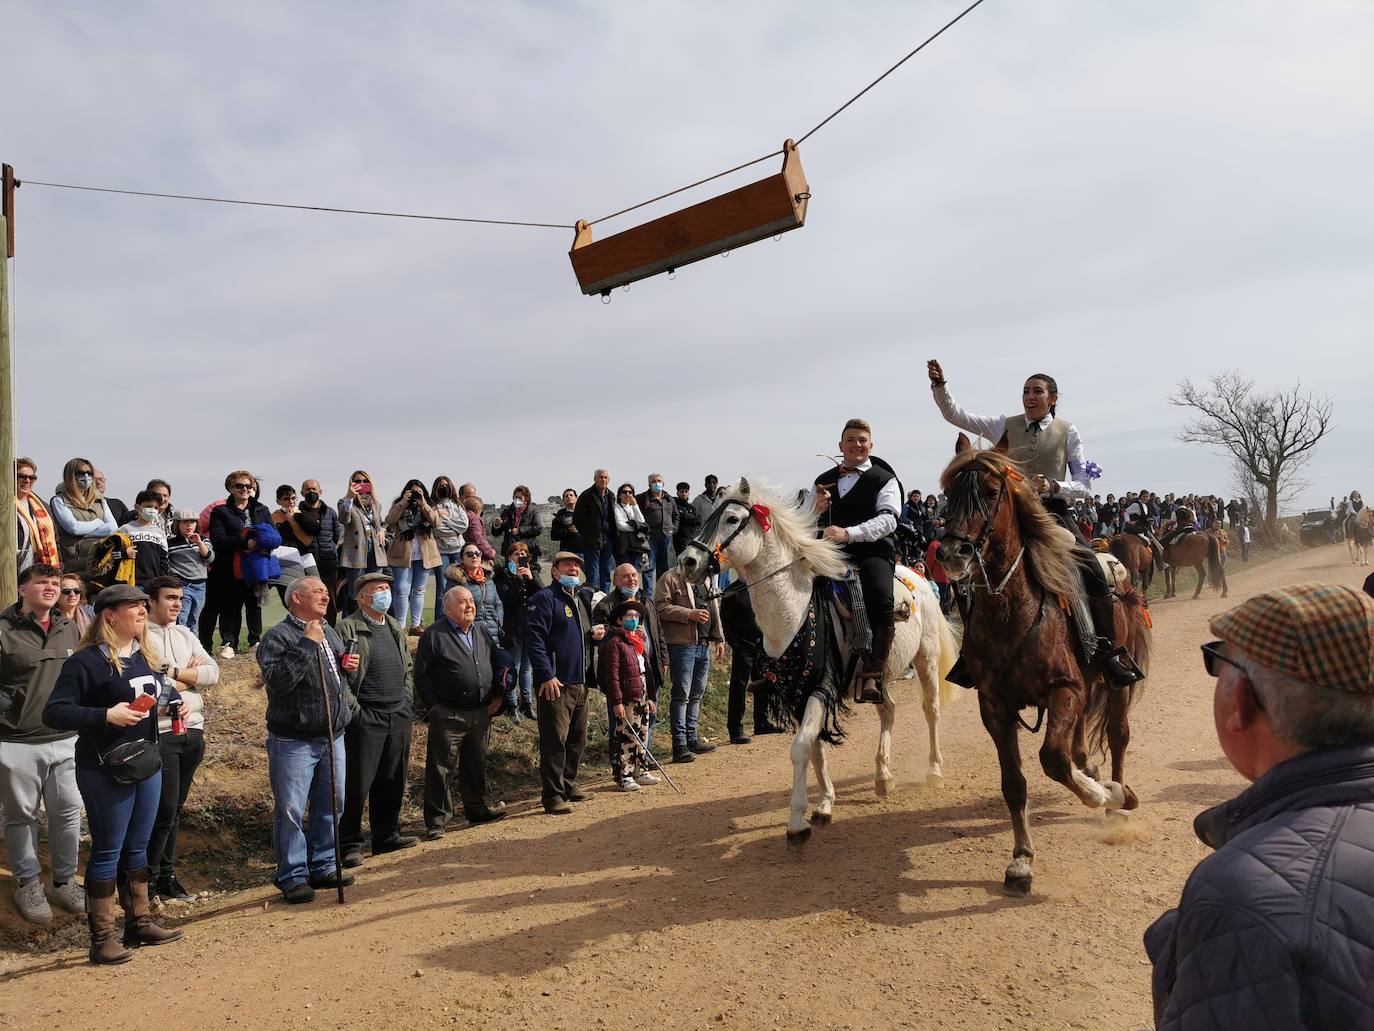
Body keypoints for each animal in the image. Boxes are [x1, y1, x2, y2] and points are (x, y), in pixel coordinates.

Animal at [676, 481, 956, 841]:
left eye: (732, 519)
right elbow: (816, 747)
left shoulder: (821, 685)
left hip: (926, 659)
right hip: (876, 676)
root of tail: (918, 579)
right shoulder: (797, 690)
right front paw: (824, 803)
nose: (687, 561)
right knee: (889, 711)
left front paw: (797, 821)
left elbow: (801, 748)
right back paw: (883, 776)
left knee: (930, 710)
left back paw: (934, 771)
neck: (793, 611)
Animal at [934, 437, 1148, 896]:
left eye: (991, 492)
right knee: (1082, 742)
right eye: (949, 495)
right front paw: (1021, 860)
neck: (1012, 612)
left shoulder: (1064, 690)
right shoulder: (995, 709)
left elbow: (1052, 758)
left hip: (1115, 682)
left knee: (1117, 736)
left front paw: (1110, 795)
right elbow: (1014, 784)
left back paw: (1118, 799)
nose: (952, 553)